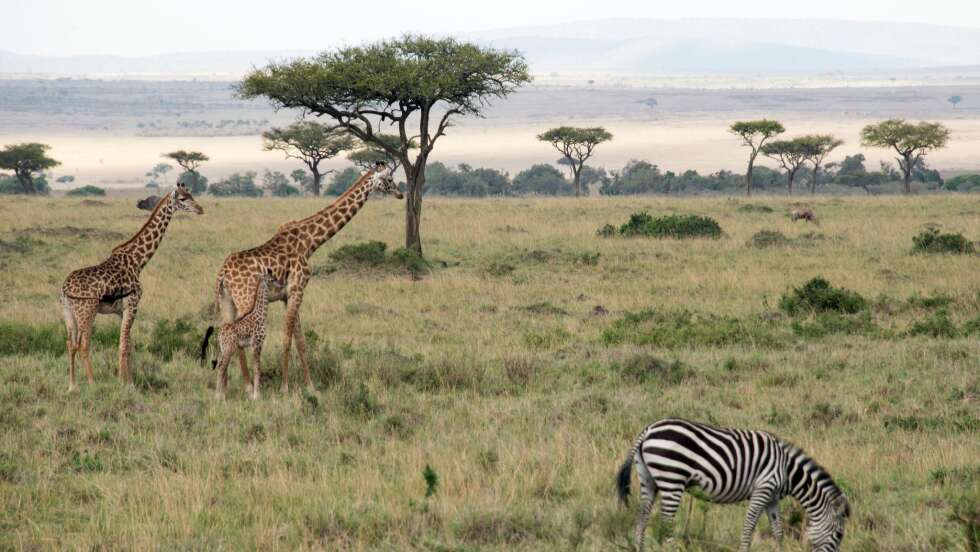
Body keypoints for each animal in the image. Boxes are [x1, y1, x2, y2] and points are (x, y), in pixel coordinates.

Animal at [617, 418, 849, 552]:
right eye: (839, 535)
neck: (787, 471)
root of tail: (648, 430)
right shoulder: (763, 489)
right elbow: (749, 527)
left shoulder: (772, 498)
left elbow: (778, 531)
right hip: (672, 478)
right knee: (666, 522)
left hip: (648, 479)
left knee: (642, 517)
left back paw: (639, 548)